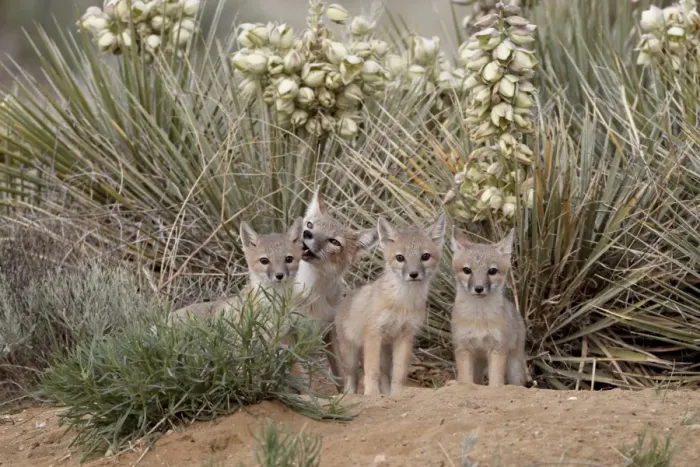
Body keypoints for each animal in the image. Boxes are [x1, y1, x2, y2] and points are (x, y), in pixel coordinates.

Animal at [293, 187, 378, 390]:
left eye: (334, 242)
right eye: (310, 224)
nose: (307, 234)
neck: (311, 292)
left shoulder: (328, 328)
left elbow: (339, 371)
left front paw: (344, 393)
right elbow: (298, 373)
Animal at [334, 213, 447, 397]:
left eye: (425, 256)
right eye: (400, 258)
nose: (413, 274)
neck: (402, 303)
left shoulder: (406, 335)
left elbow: (399, 373)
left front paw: (397, 395)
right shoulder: (373, 333)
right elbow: (371, 371)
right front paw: (371, 395)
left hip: (385, 352)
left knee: (385, 375)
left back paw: (386, 395)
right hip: (351, 356)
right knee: (352, 379)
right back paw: (351, 395)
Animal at [449, 228, 530, 387]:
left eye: (492, 271)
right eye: (467, 270)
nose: (479, 288)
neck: (479, 319)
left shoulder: (498, 349)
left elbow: (496, 383)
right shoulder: (463, 348)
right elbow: (465, 381)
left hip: (514, 369)